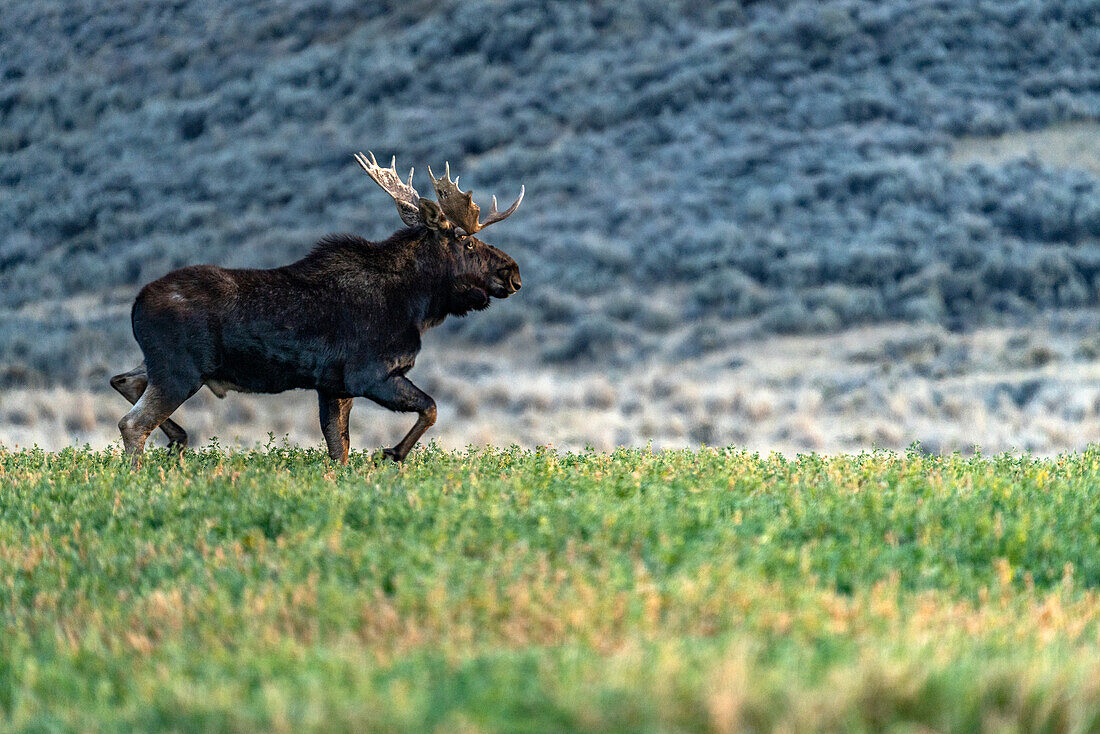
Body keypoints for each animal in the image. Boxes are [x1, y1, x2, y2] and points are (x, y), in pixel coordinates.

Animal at [111, 151, 523, 468]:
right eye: (467, 243)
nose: (513, 273)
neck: (415, 304)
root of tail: (136, 304)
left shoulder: (332, 386)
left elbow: (338, 448)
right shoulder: (369, 374)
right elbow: (431, 408)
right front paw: (391, 453)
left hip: (162, 365)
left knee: (124, 380)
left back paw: (177, 440)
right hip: (180, 370)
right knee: (132, 423)